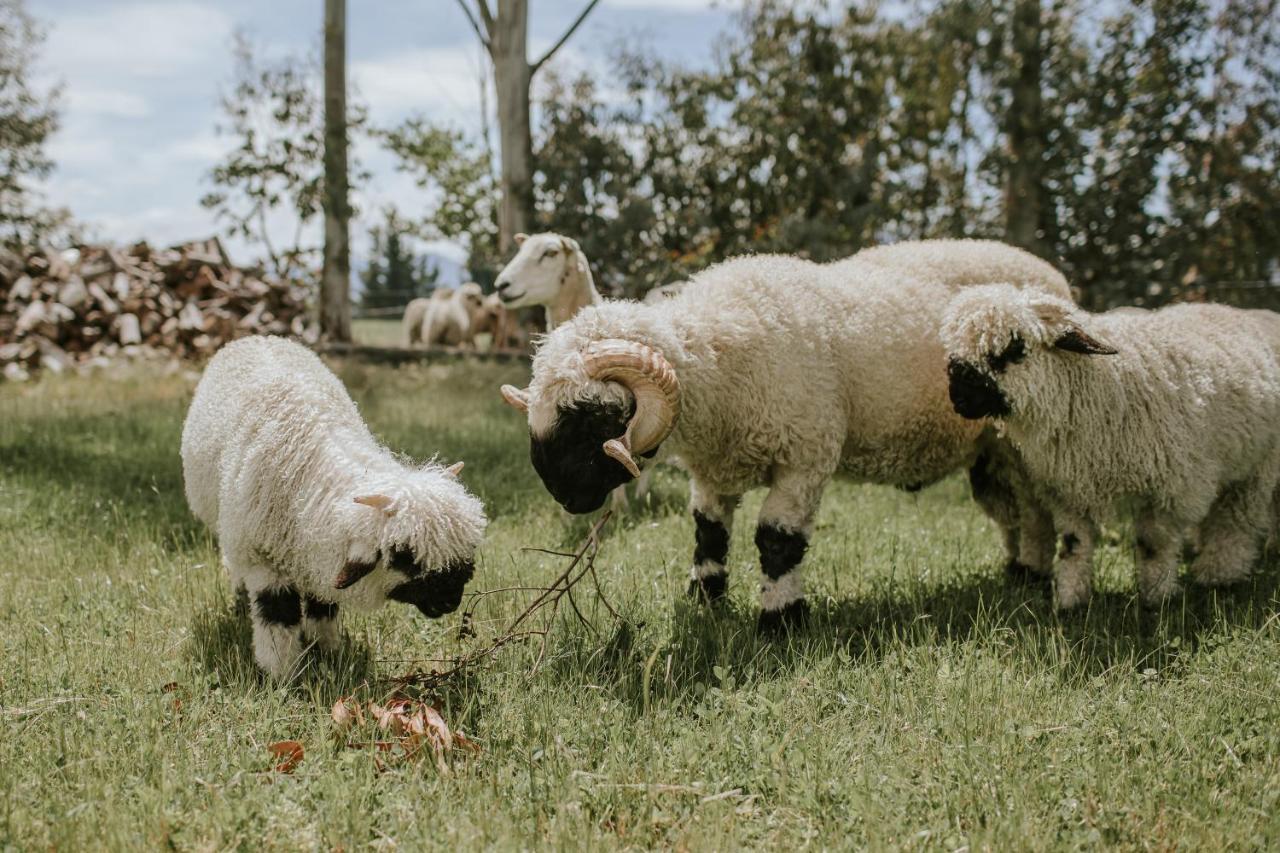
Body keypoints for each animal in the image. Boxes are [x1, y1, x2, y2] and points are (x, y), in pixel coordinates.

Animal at [499, 242, 1070, 627]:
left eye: (594, 417)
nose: (564, 498)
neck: (720, 353)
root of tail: (1051, 276)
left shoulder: (806, 457)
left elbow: (777, 540)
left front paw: (781, 618)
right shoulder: (713, 469)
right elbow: (709, 532)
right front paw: (705, 598)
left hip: (1023, 439)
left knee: (1035, 509)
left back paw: (1034, 577)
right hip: (991, 450)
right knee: (1013, 508)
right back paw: (1017, 571)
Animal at [942, 286, 1280, 612]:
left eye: (1013, 349)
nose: (958, 398)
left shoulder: (1170, 487)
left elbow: (1153, 543)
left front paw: (1157, 598)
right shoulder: (1070, 490)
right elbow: (1073, 545)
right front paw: (1070, 602)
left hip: (1258, 465)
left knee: (1233, 520)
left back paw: (1220, 575)